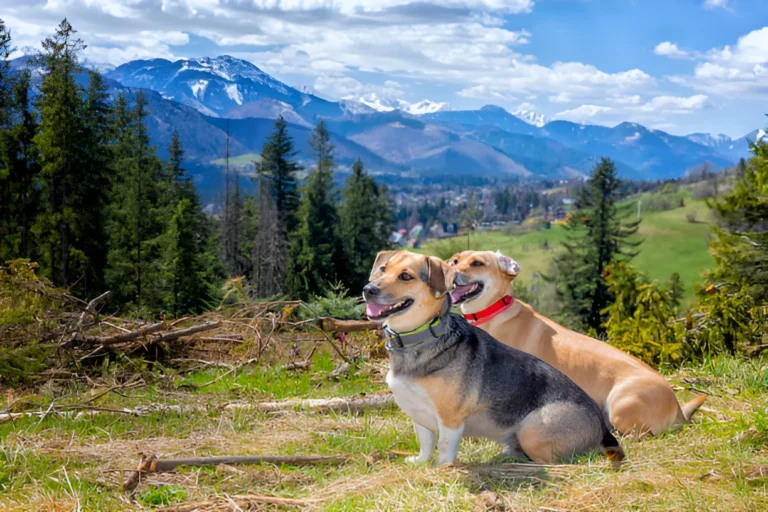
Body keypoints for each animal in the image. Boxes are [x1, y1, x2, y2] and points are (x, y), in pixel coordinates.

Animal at [364, 250, 624, 466]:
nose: (368, 290)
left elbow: (445, 447)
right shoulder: (419, 415)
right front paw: (420, 462)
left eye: (406, 276)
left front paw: (441, 468)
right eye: (382, 269)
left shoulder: (450, 419)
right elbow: (426, 444)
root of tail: (603, 429)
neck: (420, 339)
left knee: (554, 462)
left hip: (532, 429)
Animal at [450, 250, 708, 434]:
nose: (450, 268)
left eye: (477, 263)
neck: (494, 310)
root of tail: (677, 408)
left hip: (621, 404)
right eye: (456, 259)